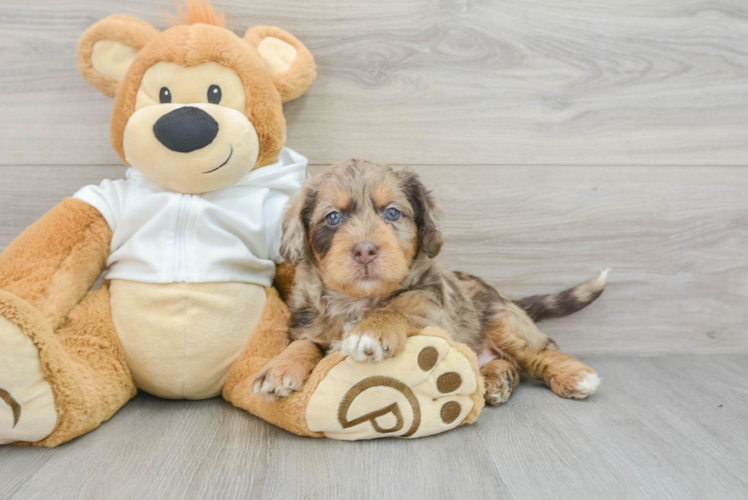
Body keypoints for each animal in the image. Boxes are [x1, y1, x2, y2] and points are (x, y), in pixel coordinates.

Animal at [254, 160, 604, 406]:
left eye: (392, 213)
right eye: (333, 218)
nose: (365, 250)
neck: (358, 301)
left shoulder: (435, 310)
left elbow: (401, 307)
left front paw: (372, 329)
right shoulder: (305, 323)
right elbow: (305, 343)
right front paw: (280, 369)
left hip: (503, 318)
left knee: (541, 349)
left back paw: (575, 376)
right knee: (508, 362)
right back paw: (496, 379)